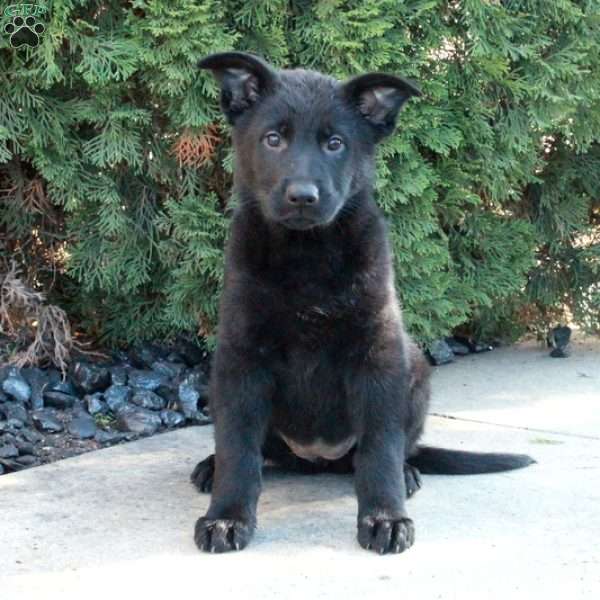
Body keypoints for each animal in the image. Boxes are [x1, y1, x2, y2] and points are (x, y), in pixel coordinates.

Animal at [192, 54, 536, 556]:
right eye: (273, 139)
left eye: (336, 143)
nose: (303, 196)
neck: (307, 254)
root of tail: (317, 459)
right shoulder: (241, 358)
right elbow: (239, 447)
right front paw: (227, 516)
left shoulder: (377, 355)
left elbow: (379, 451)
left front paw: (386, 517)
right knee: (256, 450)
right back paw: (211, 466)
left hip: (414, 370)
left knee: (395, 450)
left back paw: (408, 473)